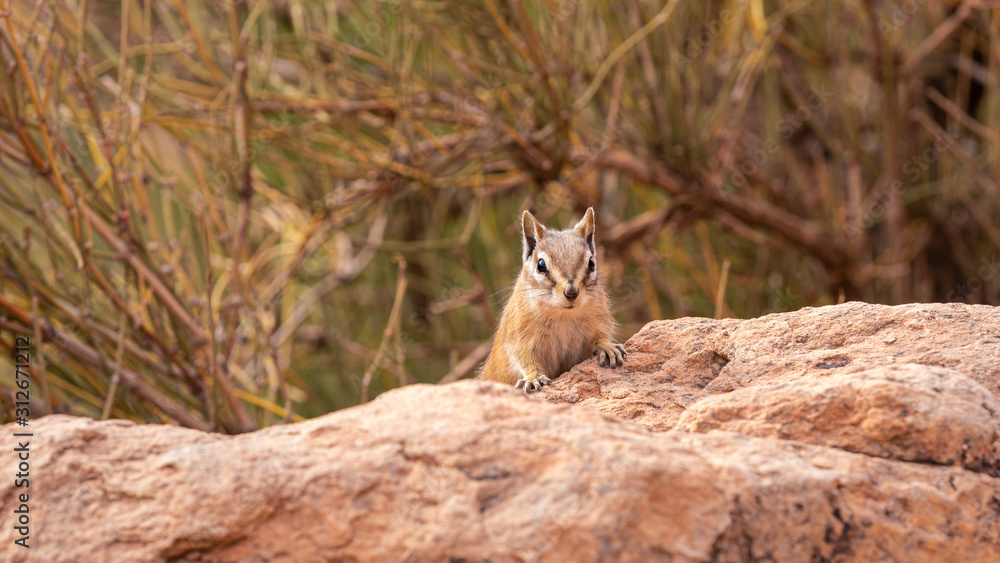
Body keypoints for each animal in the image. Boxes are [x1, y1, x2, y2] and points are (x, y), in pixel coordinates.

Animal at [479, 207, 626, 392]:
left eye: (591, 263)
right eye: (541, 265)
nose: (571, 292)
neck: (563, 315)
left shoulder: (599, 322)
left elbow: (599, 338)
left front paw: (607, 347)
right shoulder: (519, 338)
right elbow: (525, 359)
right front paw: (533, 378)